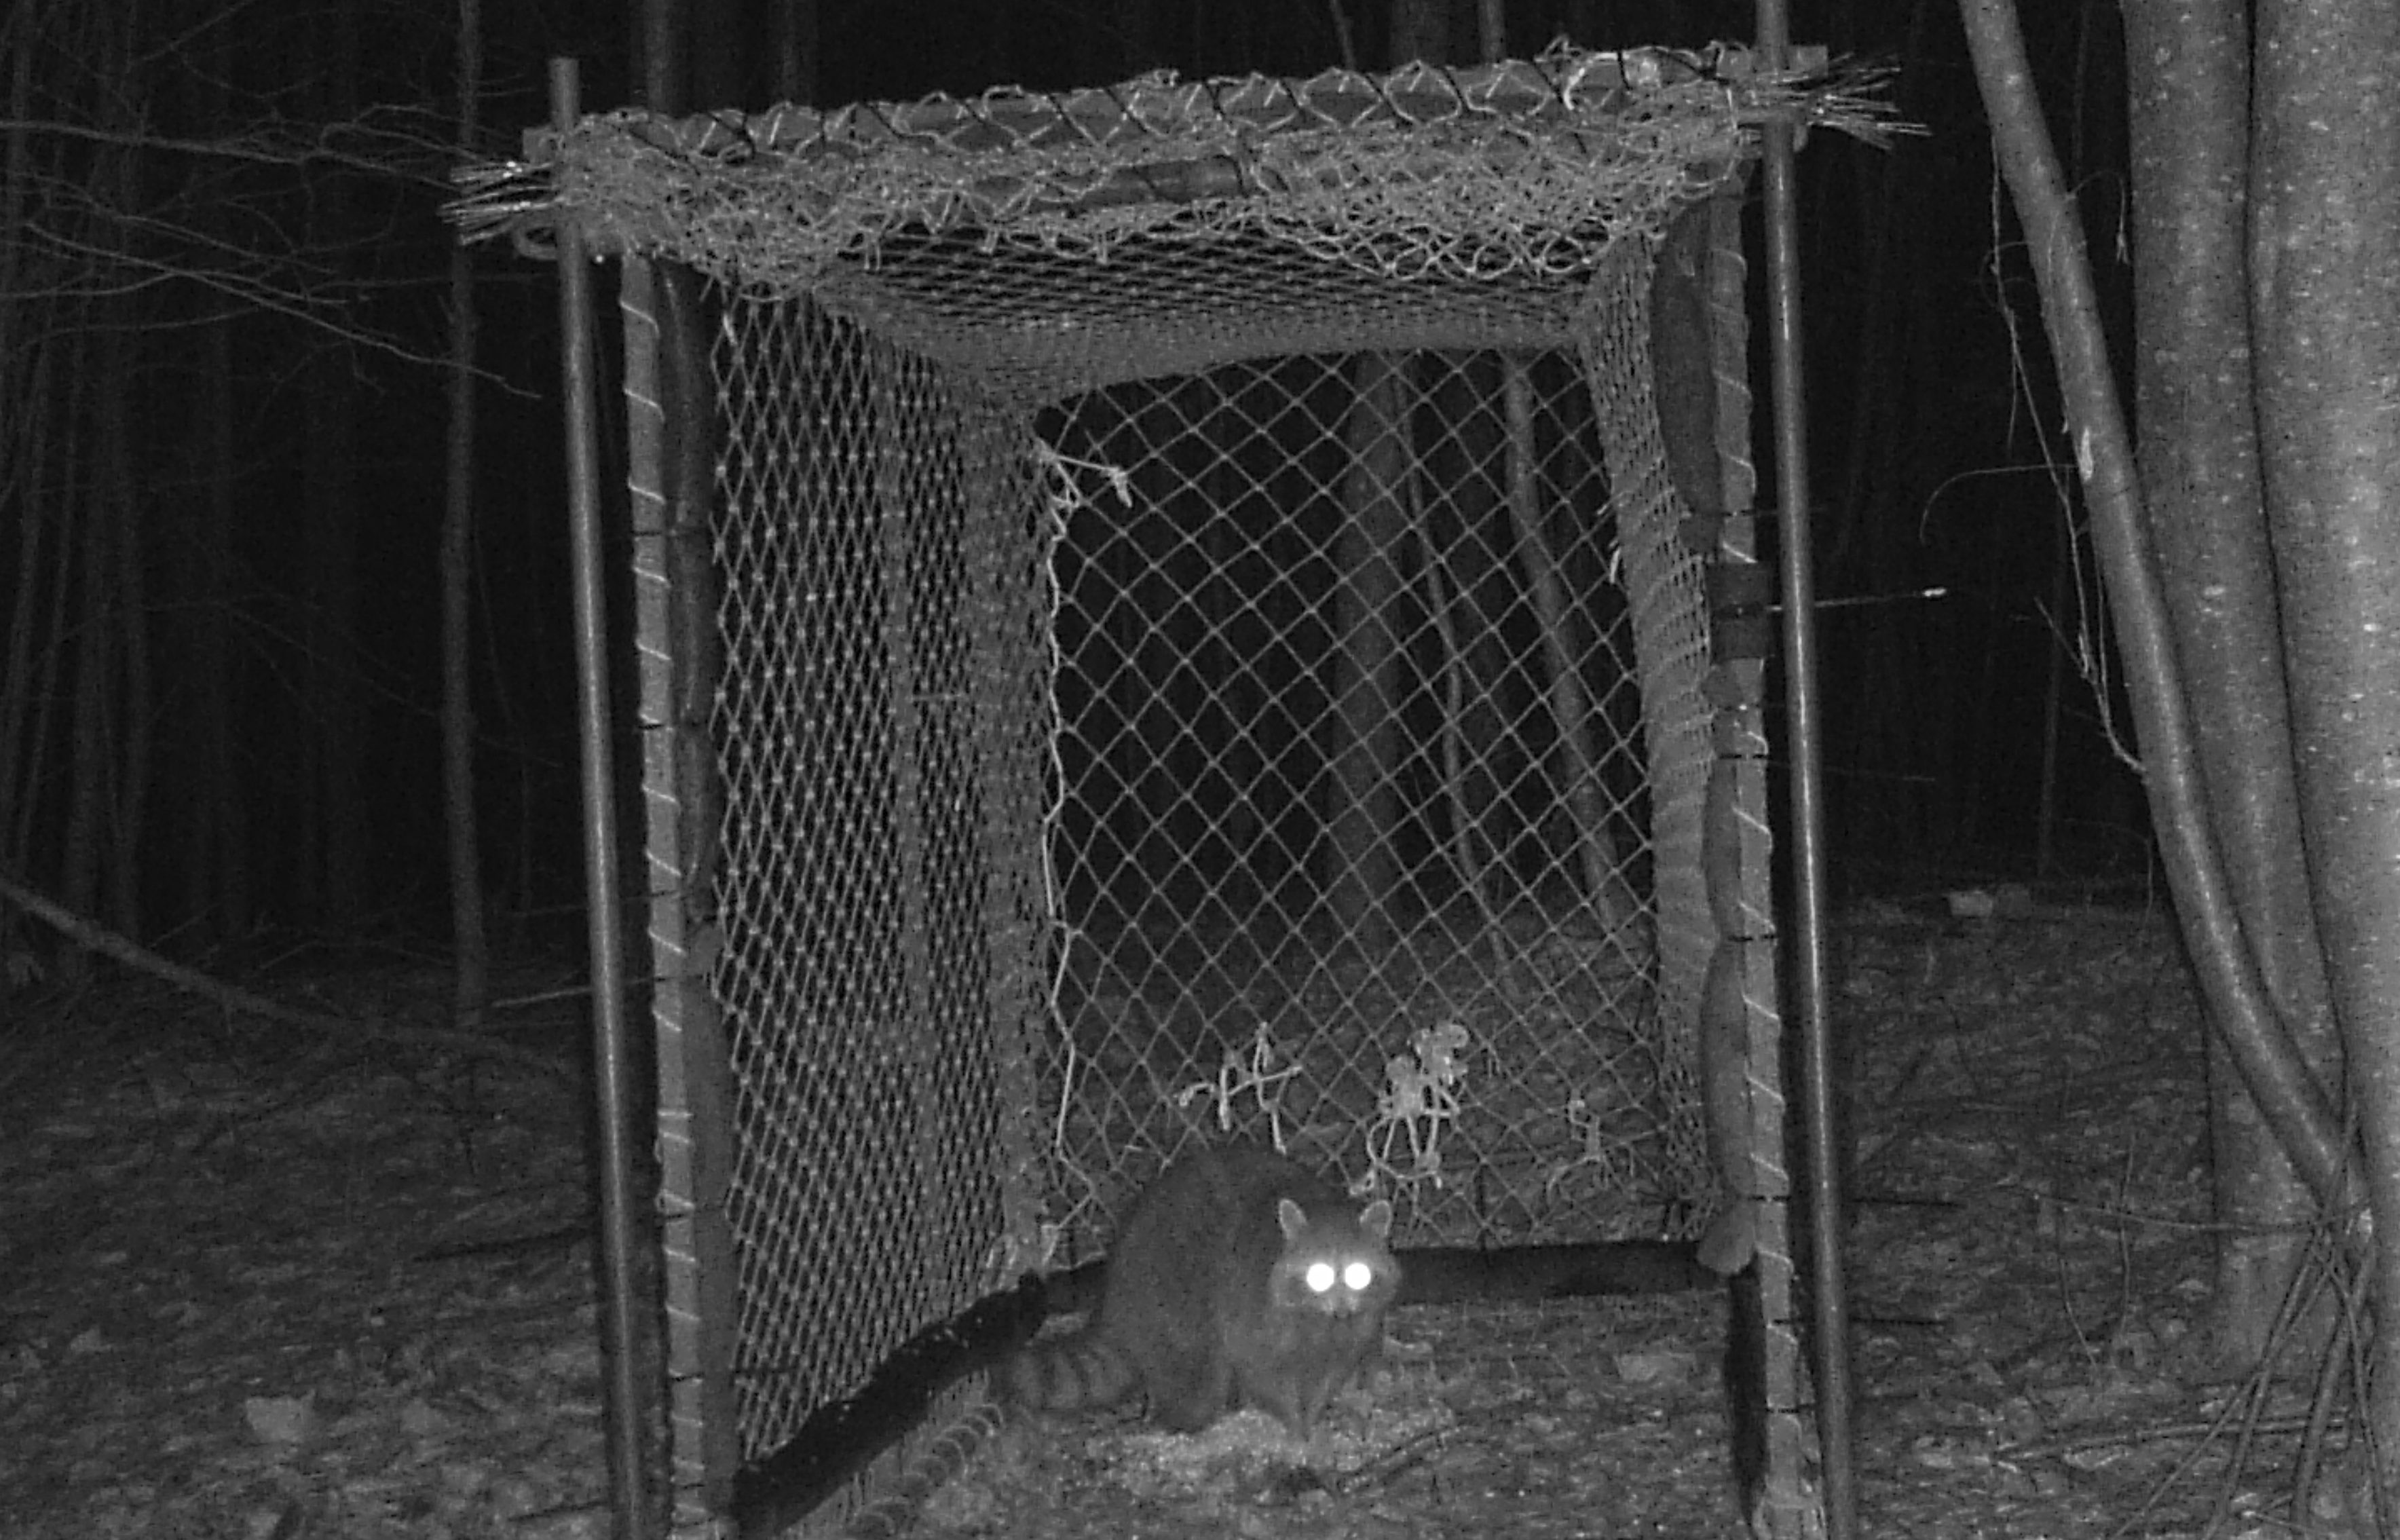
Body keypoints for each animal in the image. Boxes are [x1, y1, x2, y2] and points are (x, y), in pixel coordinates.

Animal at [998, 1142, 1402, 1439]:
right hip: (1175, 1297)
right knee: (1198, 1376)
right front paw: (1294, 1426)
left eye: (1358, 1274)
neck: (1320, 1319)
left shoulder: (1355, 1327)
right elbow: (1264, 1372)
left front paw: (1314, 1418)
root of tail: (1114, 1292)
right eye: (1319, 1275)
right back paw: (1181, 1421)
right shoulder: (1252, 1310)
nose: (1342, 1309)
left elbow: (1331, 1371)